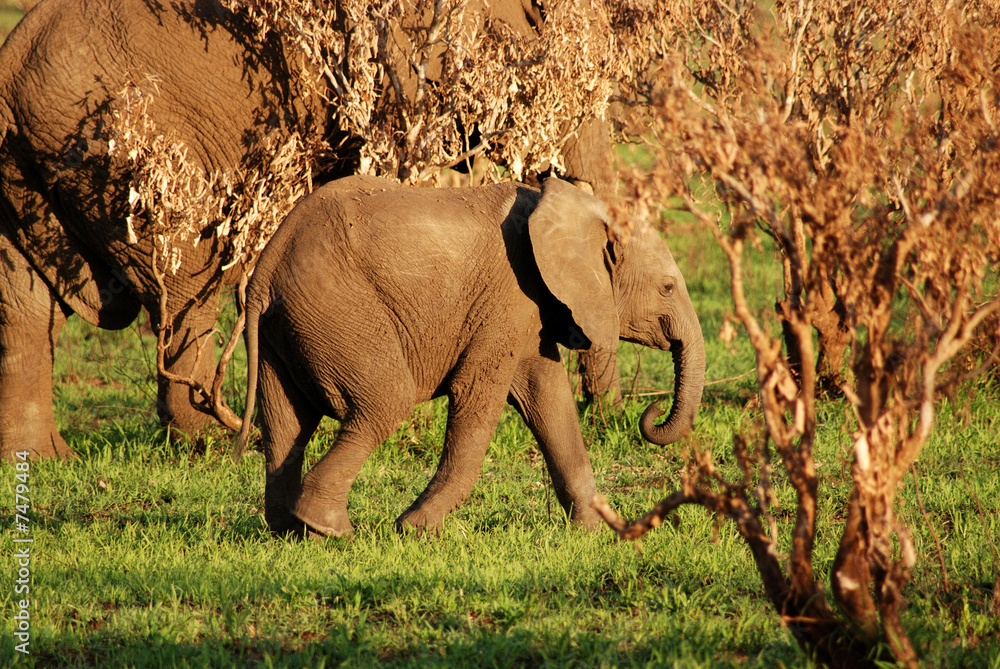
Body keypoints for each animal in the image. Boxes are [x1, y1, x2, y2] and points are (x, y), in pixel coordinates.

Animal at [0, 0, 615, 461]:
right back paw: (214, 441)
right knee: (185, 283)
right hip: (126, 154)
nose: (601, 413)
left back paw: (42, 458)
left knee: (24, 301)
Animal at [232, 174, 705, 537]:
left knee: (287, 424)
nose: (651, 412)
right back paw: (329, 530)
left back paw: (291, 531)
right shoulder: (508, 296)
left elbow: (548, 398)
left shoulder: (529, 311)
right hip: (338, 312)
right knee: (385, 401)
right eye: (667, 288)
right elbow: (479, 394)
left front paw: (598, 534)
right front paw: (416, 530)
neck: (575, 207)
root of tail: (265, 268)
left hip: (289, 327)